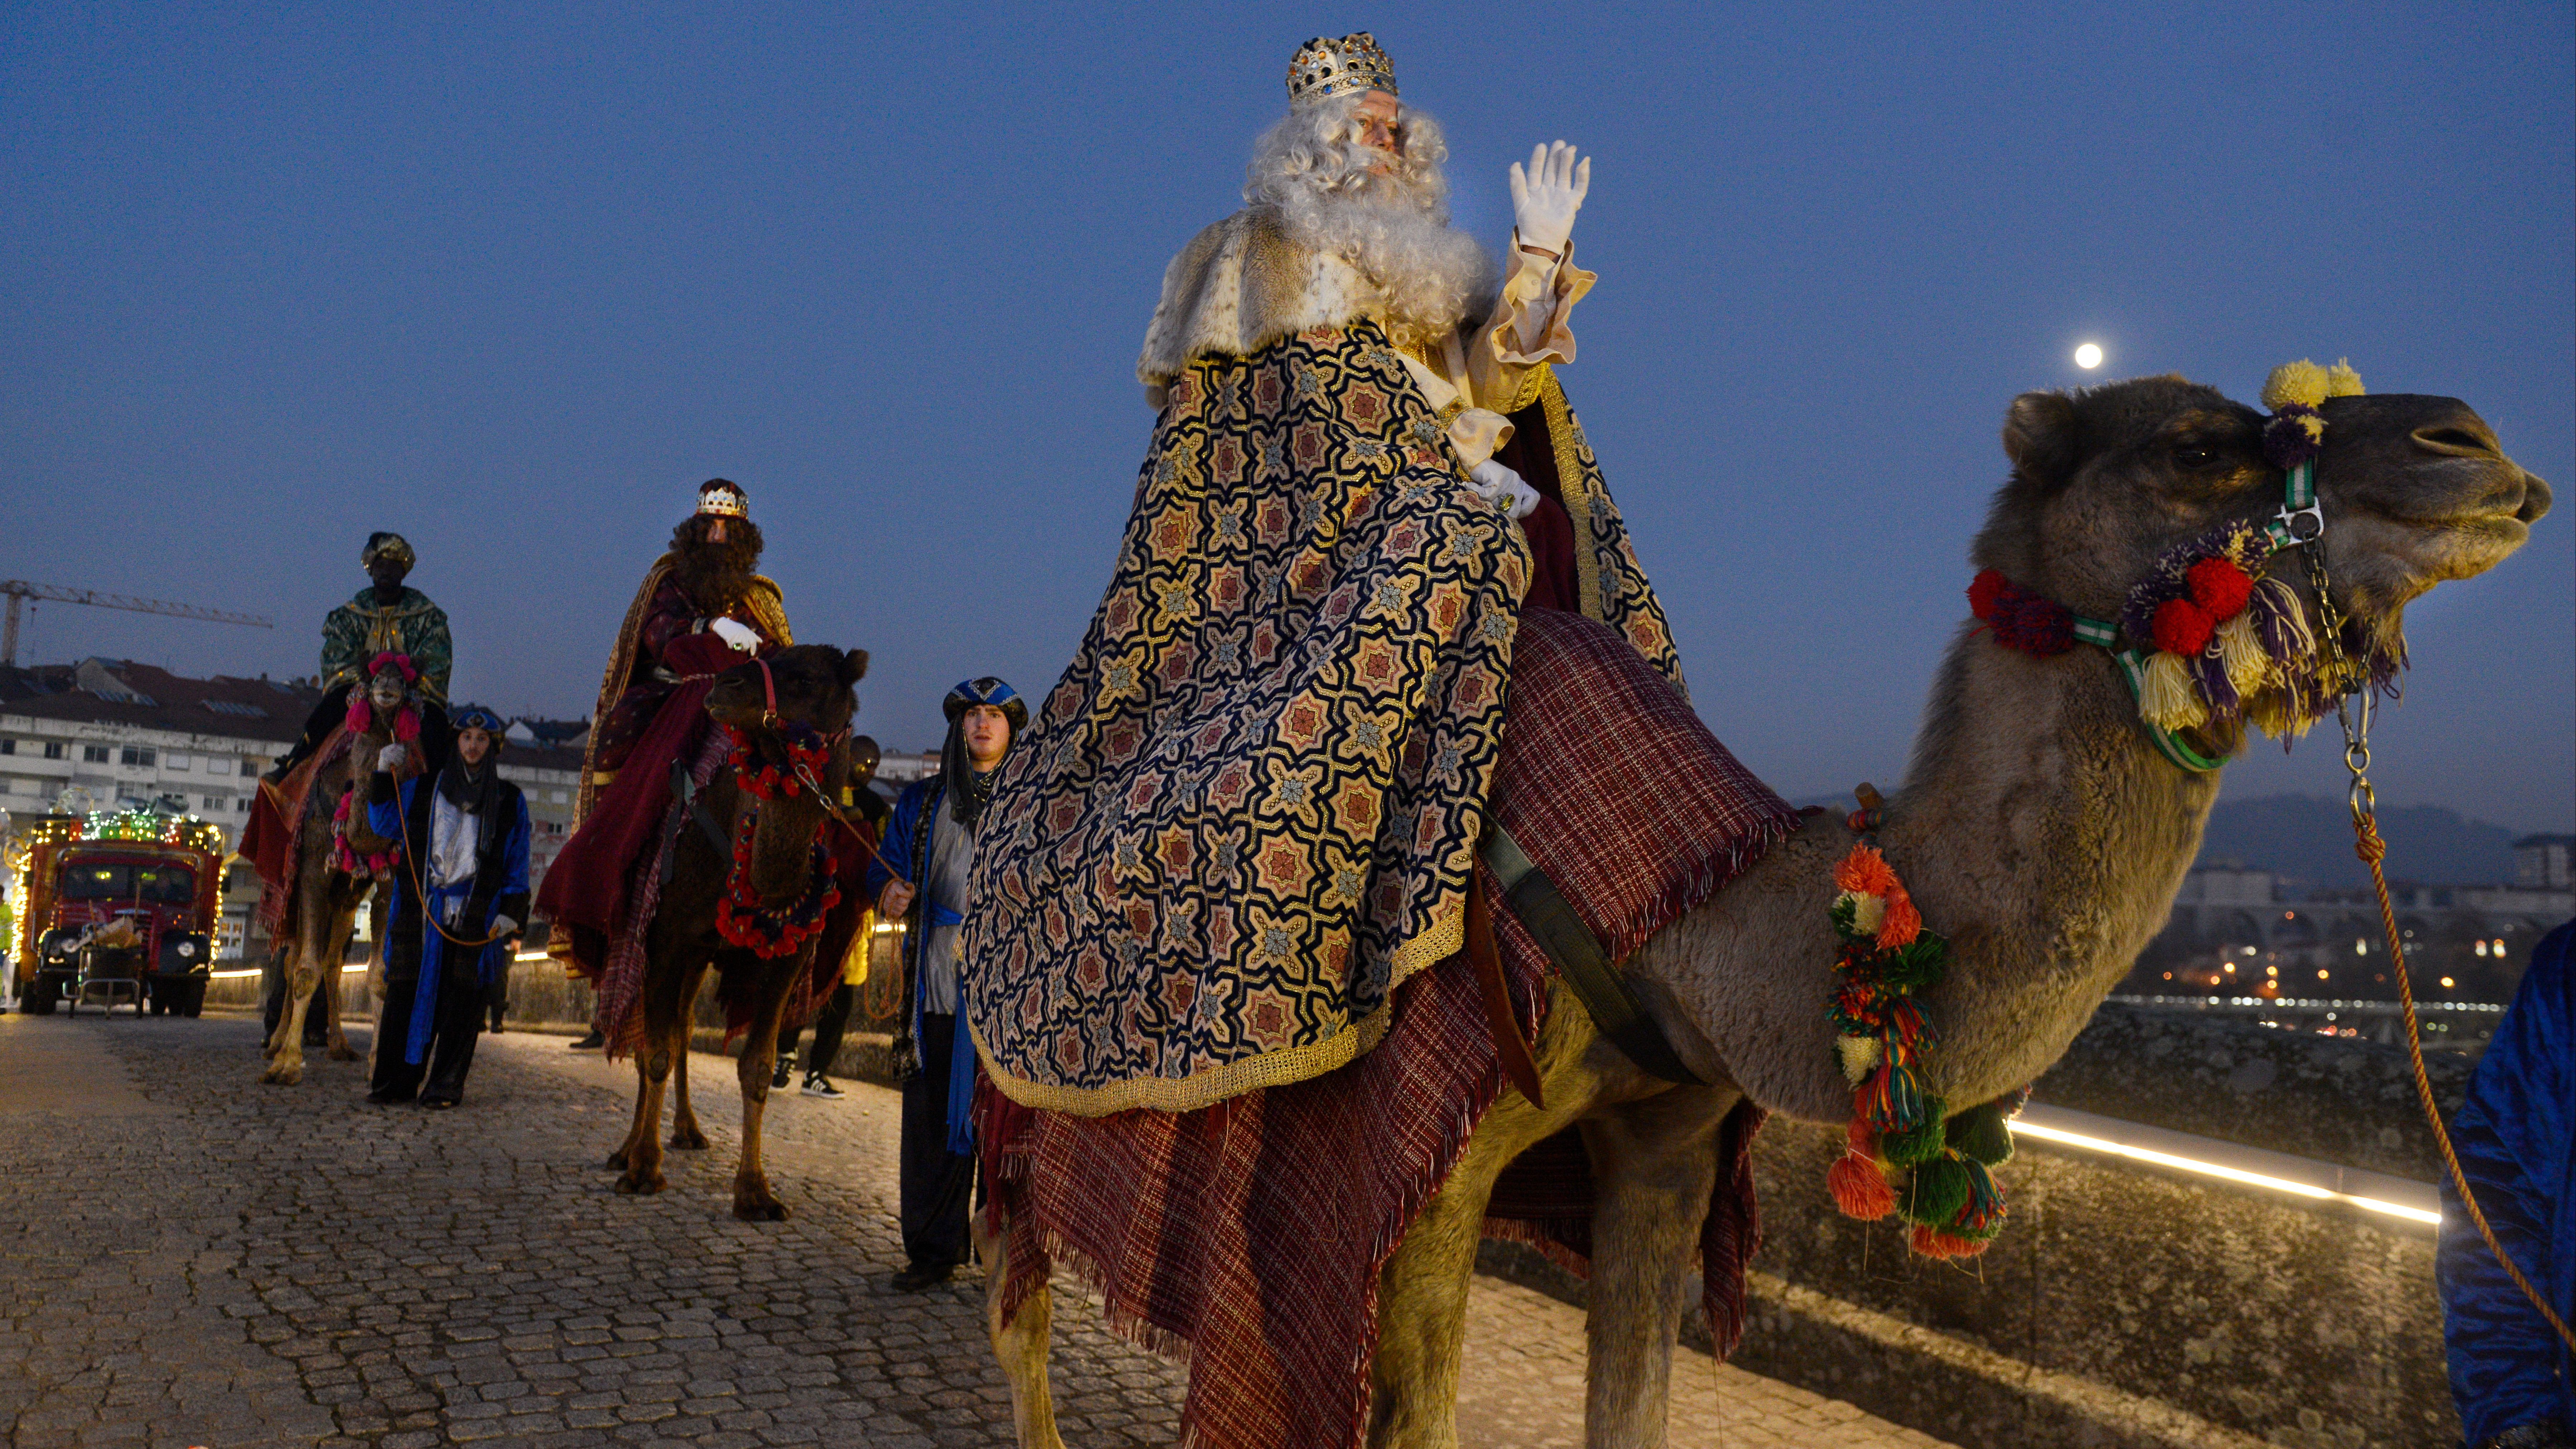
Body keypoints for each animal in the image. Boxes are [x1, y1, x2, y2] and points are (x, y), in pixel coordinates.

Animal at [263, 660, 422, 1077]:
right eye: (371, 677)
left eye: (407, 680)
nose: (388, 682)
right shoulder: (313, 872)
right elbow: (304, 970)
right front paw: (287, 1064)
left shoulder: (387, 882)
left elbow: (379, 975)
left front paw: (377, 1064)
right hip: (294, 895)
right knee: (292, 961)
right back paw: (275, 1043)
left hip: (346, 899)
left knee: (333, 962)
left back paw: (339, 1044)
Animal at [603, 642, 865, 1217]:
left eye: (807, 678)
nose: (725, 686)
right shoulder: (666, 937)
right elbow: (654, 1052)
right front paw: (644, 1168)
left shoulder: (786, 958)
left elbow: (757, 1066)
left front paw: (755, 1191)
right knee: (649, 1036)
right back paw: (628, 1149)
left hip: (702, 957)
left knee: (680, 1027)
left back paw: (688, 1130)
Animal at [974, 374, 2545, 1444]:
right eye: (2198, 444)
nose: (2472, 442)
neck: (1691, 912)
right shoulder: (1420, 1160)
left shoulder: (1661, 1146)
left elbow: (1636, 1404)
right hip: (1023, 1106)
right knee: (1018, 1313)